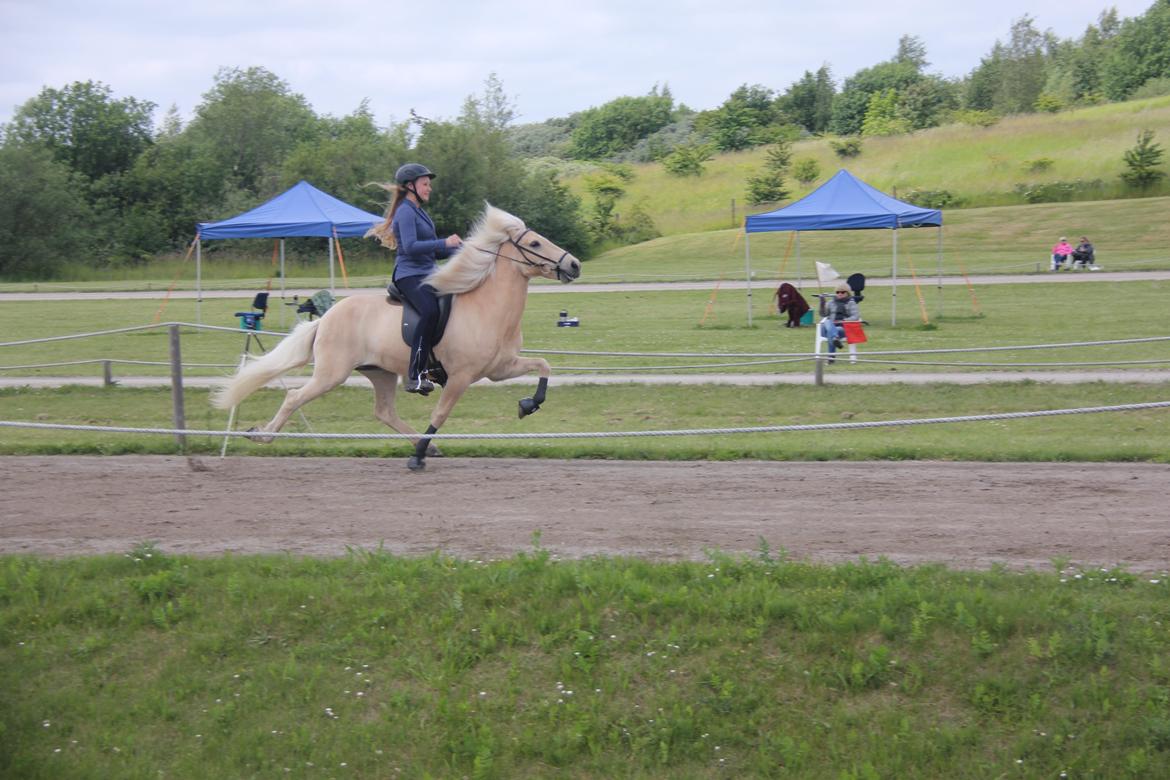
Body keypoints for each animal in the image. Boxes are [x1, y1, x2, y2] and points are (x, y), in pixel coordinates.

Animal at [210, 205, 580, 470]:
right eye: (534, 243)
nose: (574, 265)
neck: (487, 308)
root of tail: (327, 317)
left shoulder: (500, 368)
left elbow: (544, 366)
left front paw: (528, 405)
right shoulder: (461, 377)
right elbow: (440, 415)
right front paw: (417, 458)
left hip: (381, 373)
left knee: (384, 412)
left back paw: (431, 447)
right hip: (332, 374)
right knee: (294, 397)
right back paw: (262, 437)